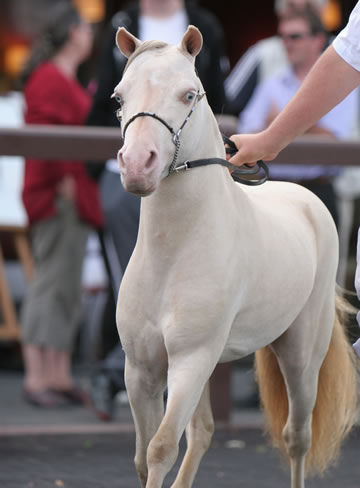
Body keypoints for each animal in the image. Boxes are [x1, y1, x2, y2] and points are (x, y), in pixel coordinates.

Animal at [114, 25, 356, 488]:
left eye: (189, 94)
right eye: (119, 98)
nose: (137, 165)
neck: (173, 256)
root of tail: (307, 201)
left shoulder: (190, 362)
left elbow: (160, 448)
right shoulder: (141, 368)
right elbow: (140, 457)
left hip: (300, 355)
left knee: (297, 436)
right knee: (205, 432)